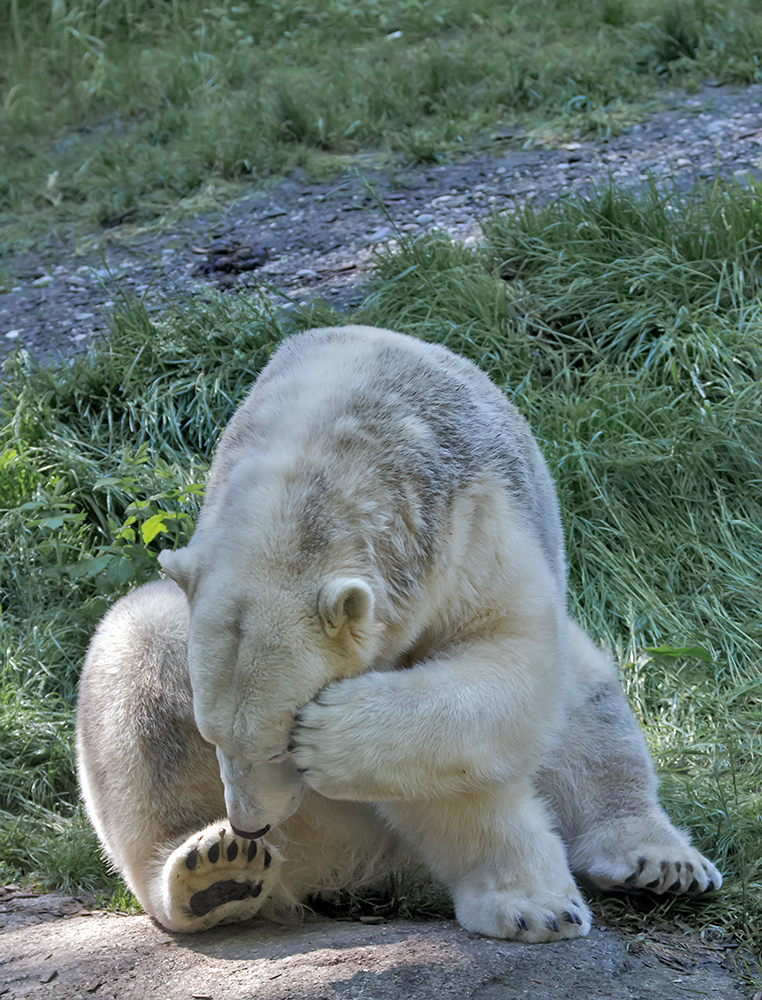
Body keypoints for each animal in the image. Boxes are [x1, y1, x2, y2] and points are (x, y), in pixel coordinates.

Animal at [74, 324, 720, 940]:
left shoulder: (470, 523)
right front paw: (533, 903)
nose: (252, 822)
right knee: (137, 648)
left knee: (589, 696)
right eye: (214, 739)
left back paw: (661, 861)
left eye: (280, 745)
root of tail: (348, 867)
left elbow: (510, 656)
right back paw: (213, 874)